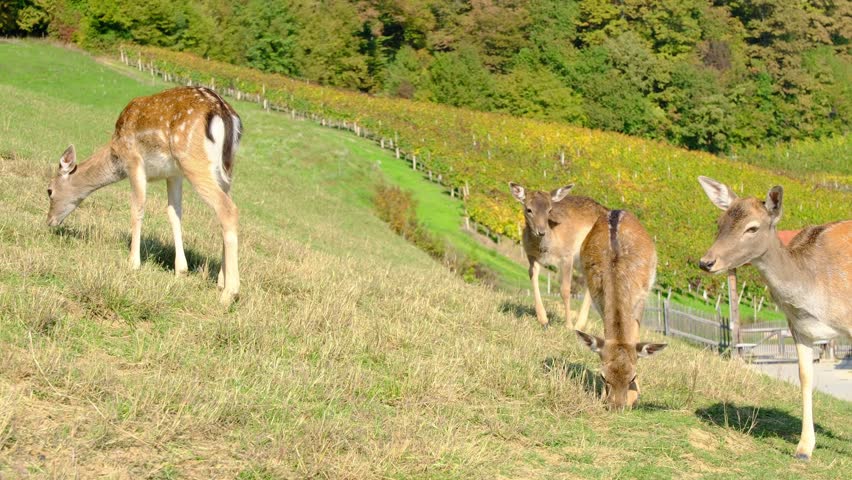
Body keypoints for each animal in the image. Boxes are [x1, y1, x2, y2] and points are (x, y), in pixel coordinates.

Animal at [46, 86, 242, 306]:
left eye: (49, 190)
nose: (49, 221)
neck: (115, 153)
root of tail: (224, 112)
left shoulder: (133, 160)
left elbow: (137, 208)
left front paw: (133, 262)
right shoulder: (173, 174)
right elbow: (174, 213)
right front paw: (180, 270)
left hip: (193, 160)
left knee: (228, 208)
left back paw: (229, 293)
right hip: (225, 171)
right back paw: (221, 281)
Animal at [509, 182, 606, 329]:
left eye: (549, 210)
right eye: (529, 209)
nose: (541, 231)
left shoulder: (567, 256)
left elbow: (565, 290)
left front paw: (568, 326)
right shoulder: (531, 256)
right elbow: (533, 279)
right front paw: (543, 320)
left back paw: (578, 325)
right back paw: (580, 325)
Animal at [574, 209, 667, 409]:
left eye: (633, 377)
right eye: (603, 377)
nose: (617, 406)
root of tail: (616, 210)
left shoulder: (641, 298)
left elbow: (635, 336)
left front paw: (635, 396)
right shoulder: (598, 300)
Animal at [697, 176, 851, 461]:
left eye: (752, 228)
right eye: (719, 222)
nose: (706, 262)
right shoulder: (799, 327)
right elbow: (805, 376)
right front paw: (803, 449)